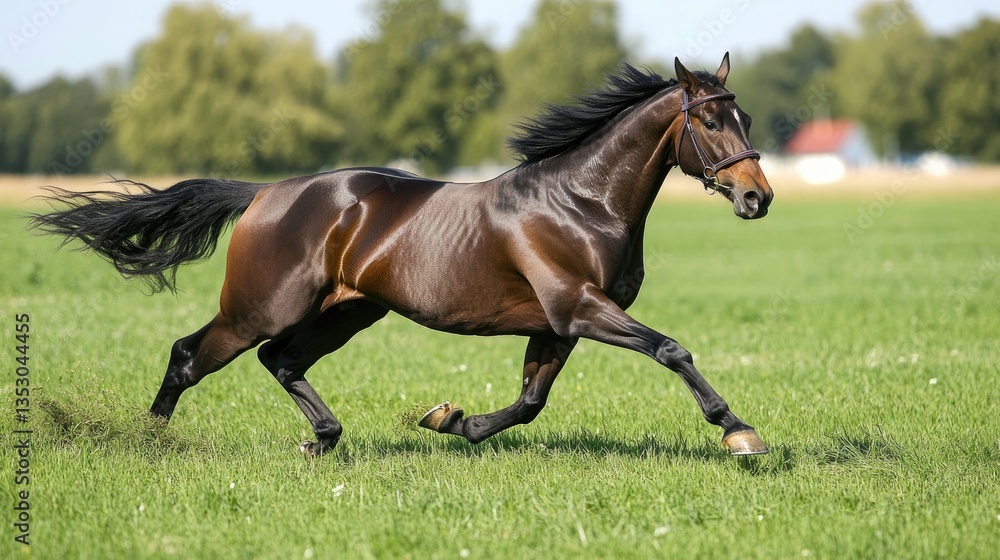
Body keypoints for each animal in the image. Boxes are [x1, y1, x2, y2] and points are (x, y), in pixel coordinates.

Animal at [32, 53, 774, 457]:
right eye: (711, 120)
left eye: (745, 118)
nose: (757, 197)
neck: (581, 203)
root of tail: (264, 193)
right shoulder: (579, 308)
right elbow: (671, 348)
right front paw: (739, 431)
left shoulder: (556, 324)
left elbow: (528, 401)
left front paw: (449, 420)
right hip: (260, 307)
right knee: (192, 355)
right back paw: (151, 441)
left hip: (348, 312)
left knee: (281, 361)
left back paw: (324, 437)